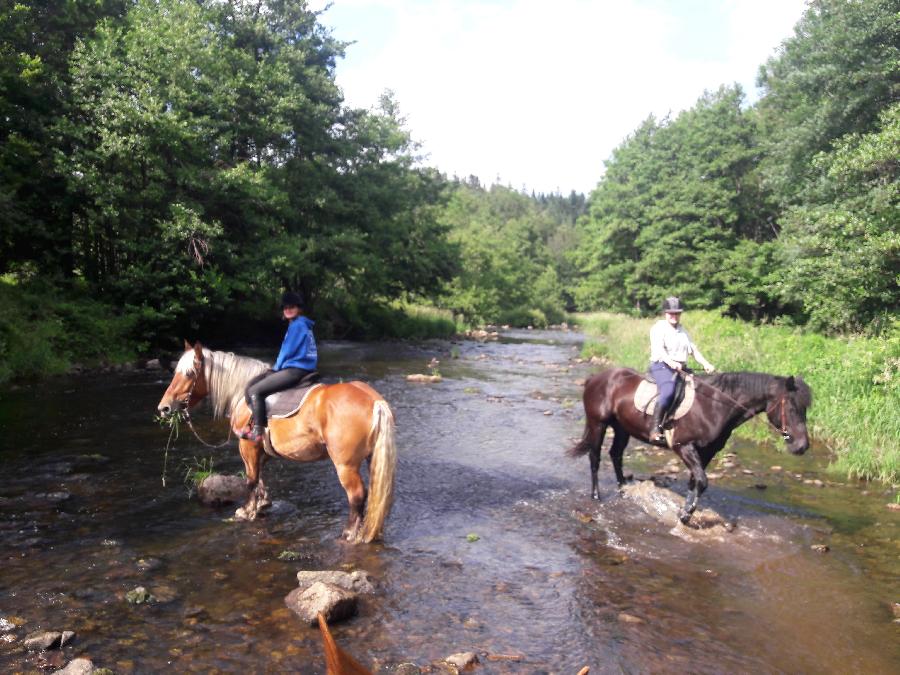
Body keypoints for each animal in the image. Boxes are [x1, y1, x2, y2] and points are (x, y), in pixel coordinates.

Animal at [156, 344, 396, 544]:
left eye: (189, 373)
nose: (164, 408)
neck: (242, 395)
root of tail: (374, 401)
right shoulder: (263, 450)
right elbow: (259, 475)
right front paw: (262, 503)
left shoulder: (248, 446)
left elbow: (250, 479)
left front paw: (247, 511)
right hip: (371, 459)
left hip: (345, 465)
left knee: (356, 495)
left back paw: (348, 534)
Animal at [572, 370, 812, 524]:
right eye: (792, 407)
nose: (802, 446)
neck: (714, 406)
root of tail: (596, 378)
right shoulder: (684, 446)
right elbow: (702, 481)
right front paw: (686, 515)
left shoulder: (707, 452)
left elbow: (695, 481)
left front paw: (684, 511)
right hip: (598, 424)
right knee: (595, 457)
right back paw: (596, 496)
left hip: (622, 428)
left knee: (616, 455)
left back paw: (625, 489)